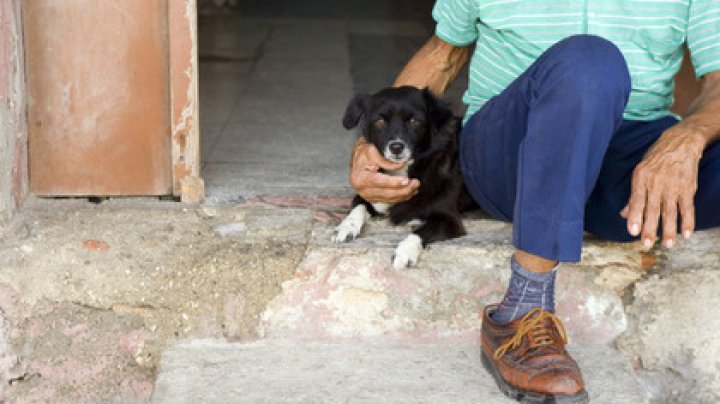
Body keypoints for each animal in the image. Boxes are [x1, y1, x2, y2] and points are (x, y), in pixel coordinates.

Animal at [334, 86, 478, 268]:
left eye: (414, 121)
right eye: (380, 121)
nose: (396, 147)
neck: (404, 171)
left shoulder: (450, 220)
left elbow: (421, 232)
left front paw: (405, 252)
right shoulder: (368, 192)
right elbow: (358, 207)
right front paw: (346, 226)